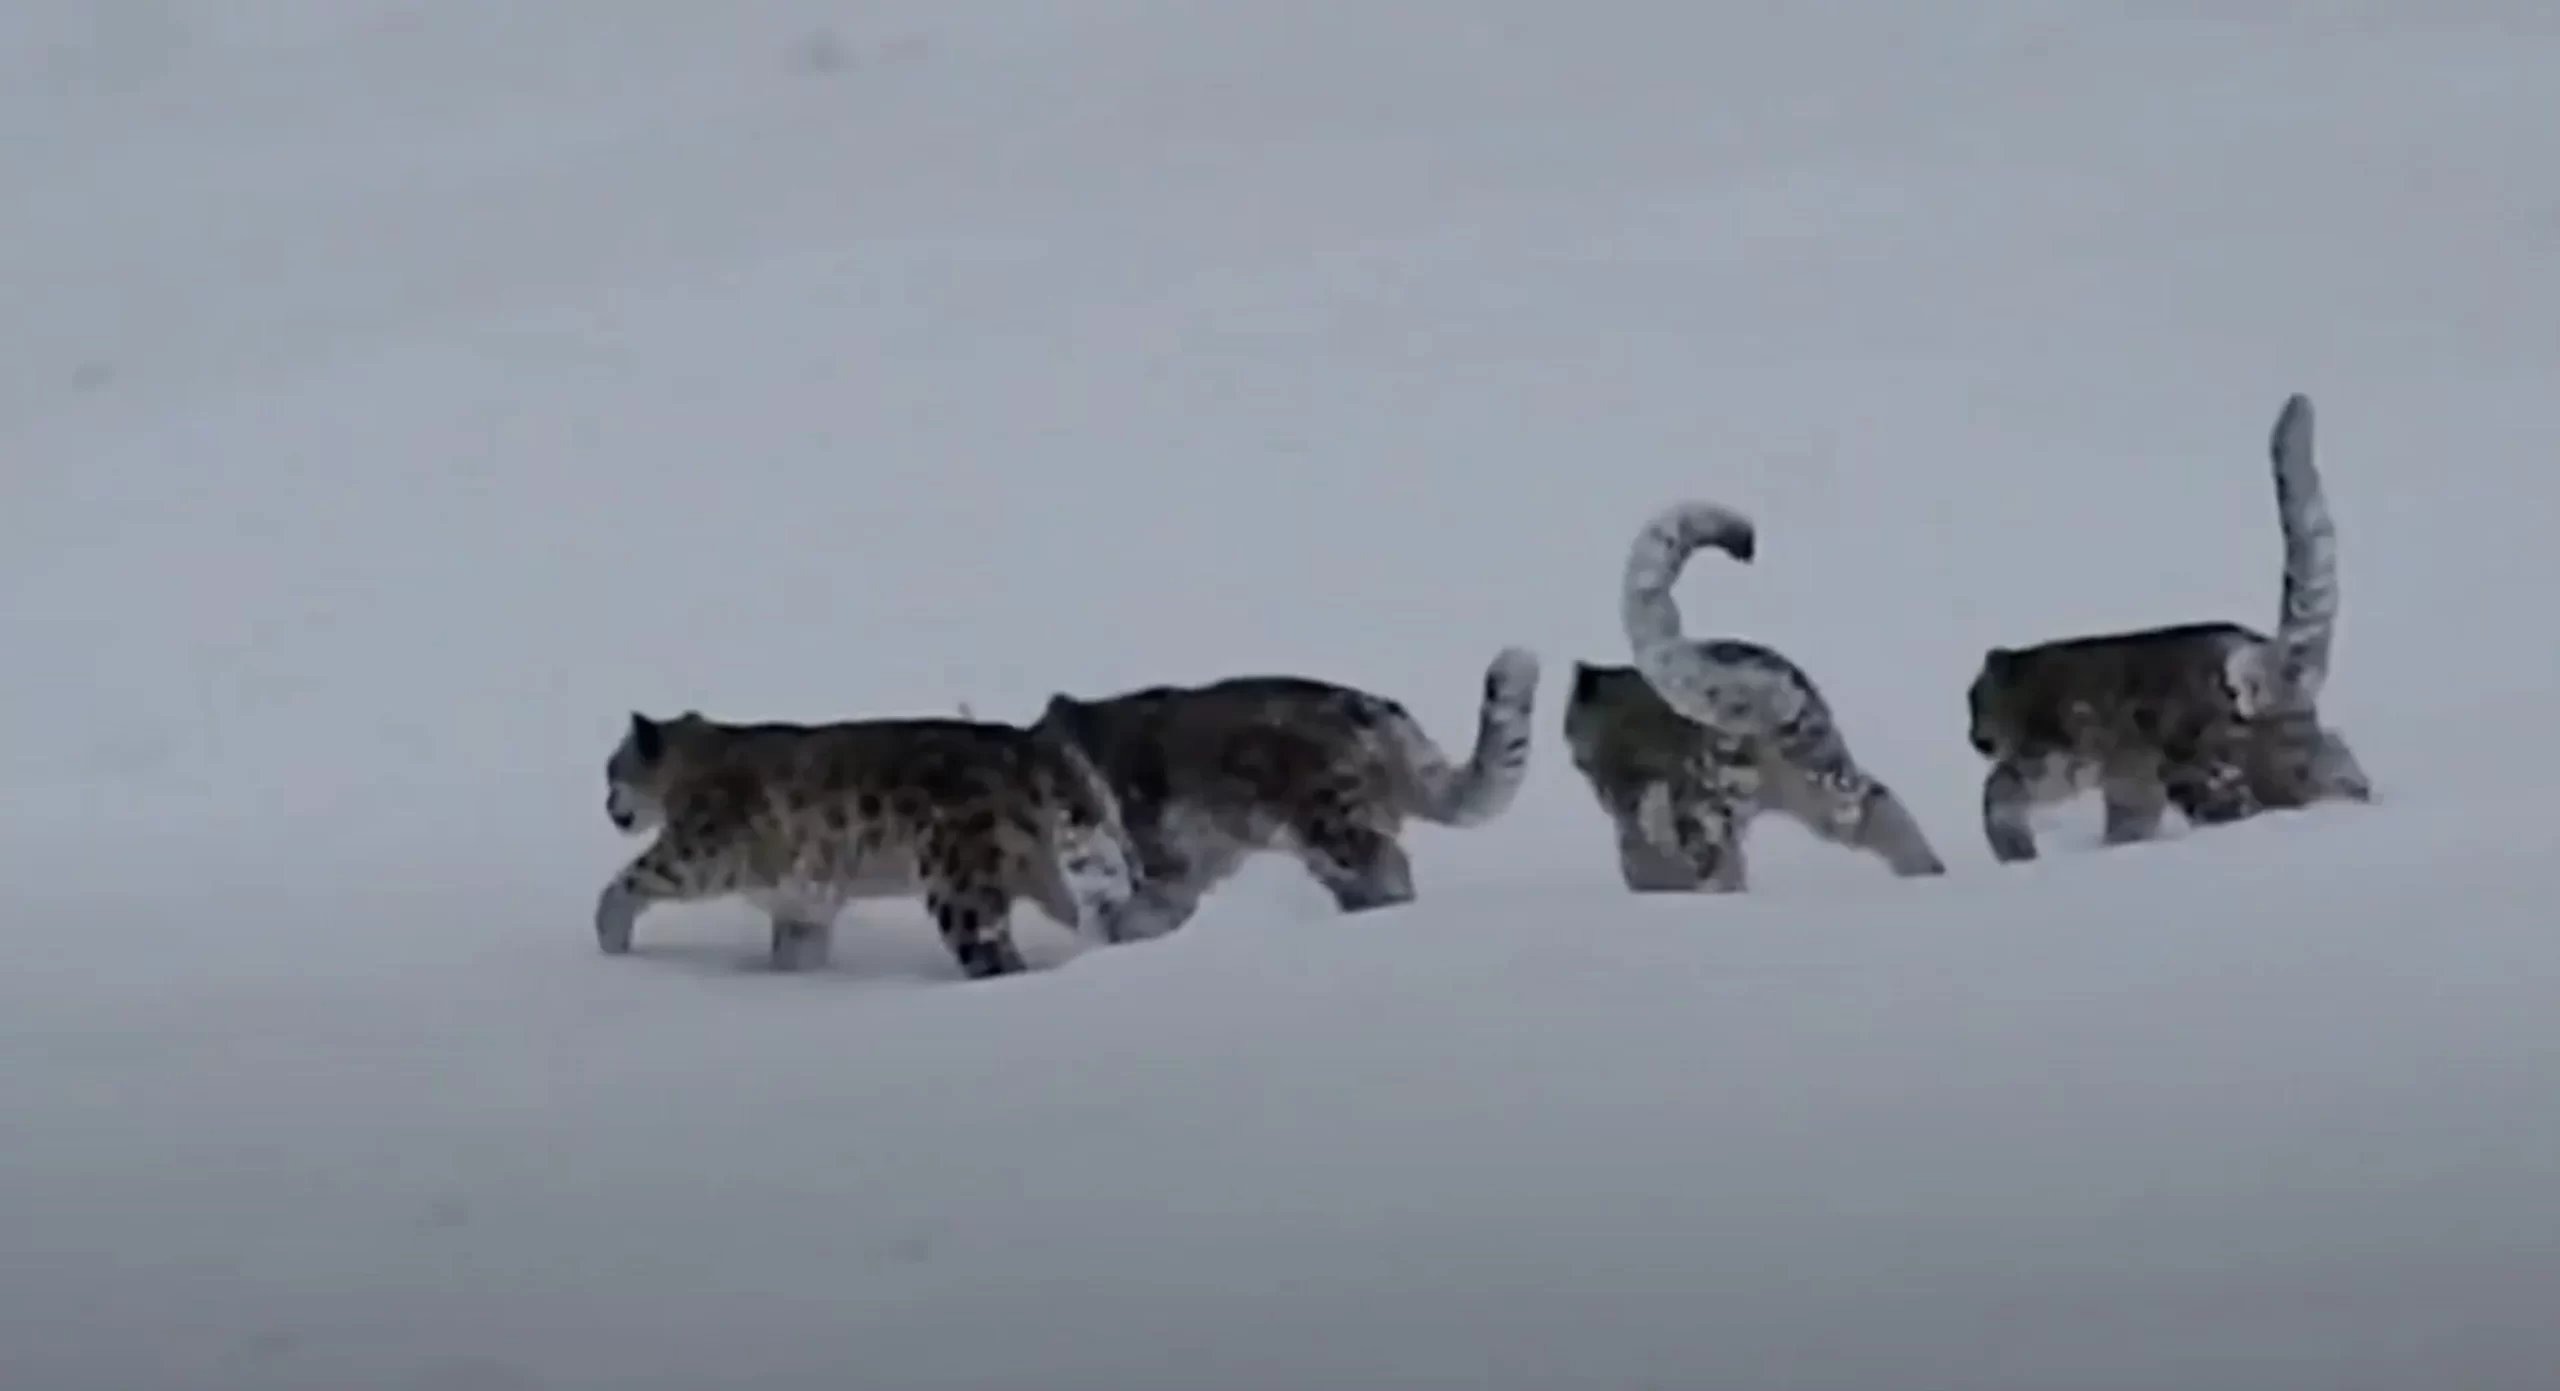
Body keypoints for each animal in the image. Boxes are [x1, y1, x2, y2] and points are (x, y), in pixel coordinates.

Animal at [593, 712, 1136, 973]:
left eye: (612, 770)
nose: (607, 807)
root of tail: (1030, 746)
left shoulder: (695, 854)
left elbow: (626, 882)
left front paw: (610, 940)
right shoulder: (800, 900)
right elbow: (795, 951)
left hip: (959, 885)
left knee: (993, 954)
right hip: (1050, 870)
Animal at [1955, 391, 2375, 865]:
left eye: (1976, 701)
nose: (1976, 739)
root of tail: (2272, 655)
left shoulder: (2054, 760)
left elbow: (1999, 791)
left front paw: (2015, 847)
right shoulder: (2128, 781)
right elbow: (2127, 818)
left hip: (2213, 766)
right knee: (2335, 758)